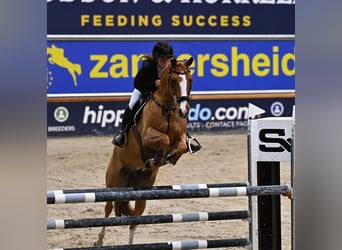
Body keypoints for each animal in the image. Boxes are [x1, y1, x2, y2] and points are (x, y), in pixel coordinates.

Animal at [93, 56, 194, 246]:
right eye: (173, 80)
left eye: (190, 80)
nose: (184, 111)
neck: (167, 109)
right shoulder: (147, 136)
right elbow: (164, 139)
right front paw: (158, 158)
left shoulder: (181, 136)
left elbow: (181, 146)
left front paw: (168, 158)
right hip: (114, 183)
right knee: (108, 208)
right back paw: (99, 241)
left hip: (143, 191)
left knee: (135, 220)